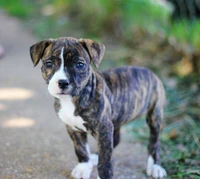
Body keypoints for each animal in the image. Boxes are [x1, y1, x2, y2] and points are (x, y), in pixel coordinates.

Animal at [29, 36, 167, 179]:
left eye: (80, 65)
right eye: (49, 64)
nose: (62, 82)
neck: (73, 99)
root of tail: (150, 72)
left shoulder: (103, 128)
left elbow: (105, 160)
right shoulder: (73, 128)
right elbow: (81, 149)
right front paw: (83, 167)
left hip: (154, 116)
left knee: (154, 142)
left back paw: (155, 167)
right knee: (116, 138)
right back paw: (95, 157)